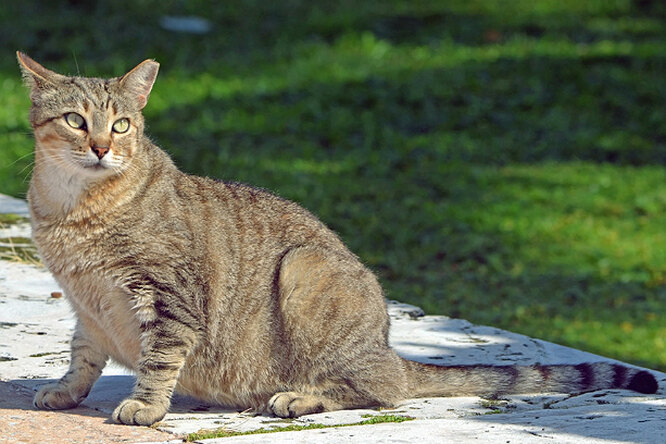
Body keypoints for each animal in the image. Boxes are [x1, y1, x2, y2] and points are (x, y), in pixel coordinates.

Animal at [16, 52, 660, 426]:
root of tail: (390, 349)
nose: (102, 146)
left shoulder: (170, 296)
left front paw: (145, 406)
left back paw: (301, 397)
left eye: (122, 124)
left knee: (382, 390)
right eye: (76, 120)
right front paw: (66, 393)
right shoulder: (88, 306)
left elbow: (158, 357)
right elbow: (82, 356)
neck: (72, 209)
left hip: (306, 271)